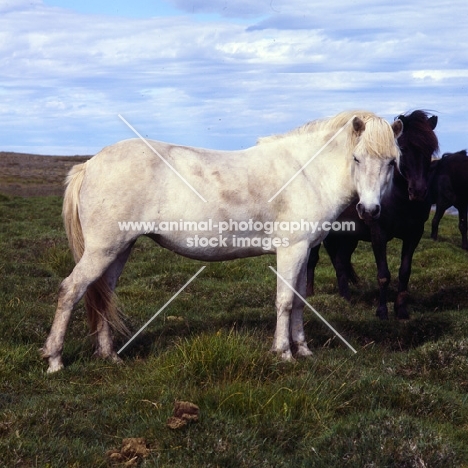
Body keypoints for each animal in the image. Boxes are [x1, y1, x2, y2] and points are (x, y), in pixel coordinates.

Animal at [41, 109, 402, 372]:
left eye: (391, 162)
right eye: (357, 158)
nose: (370, 210)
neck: (307, 172)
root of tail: (90, 164)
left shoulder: (304, 251)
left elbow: (299, 300)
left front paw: (303, 349)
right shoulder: (292, 250)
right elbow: (285, 301)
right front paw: (283, 353)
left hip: (119, 250)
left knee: (103, 294)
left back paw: (110, 356)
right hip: (103, 250)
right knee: (71, 290)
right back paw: (55, 360)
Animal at [308, 111, 438, 320]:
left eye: (431, 148)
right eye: (404, 149)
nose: (418, 191)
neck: (398, 198)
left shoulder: (414, 234)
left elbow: (405, 272)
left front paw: (401, 310)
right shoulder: (379, 234)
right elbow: (383, 274)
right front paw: (382, 311)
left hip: (349, 237)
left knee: (340, 261)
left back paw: (346, 298)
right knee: (313, 260)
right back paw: (309, 293)